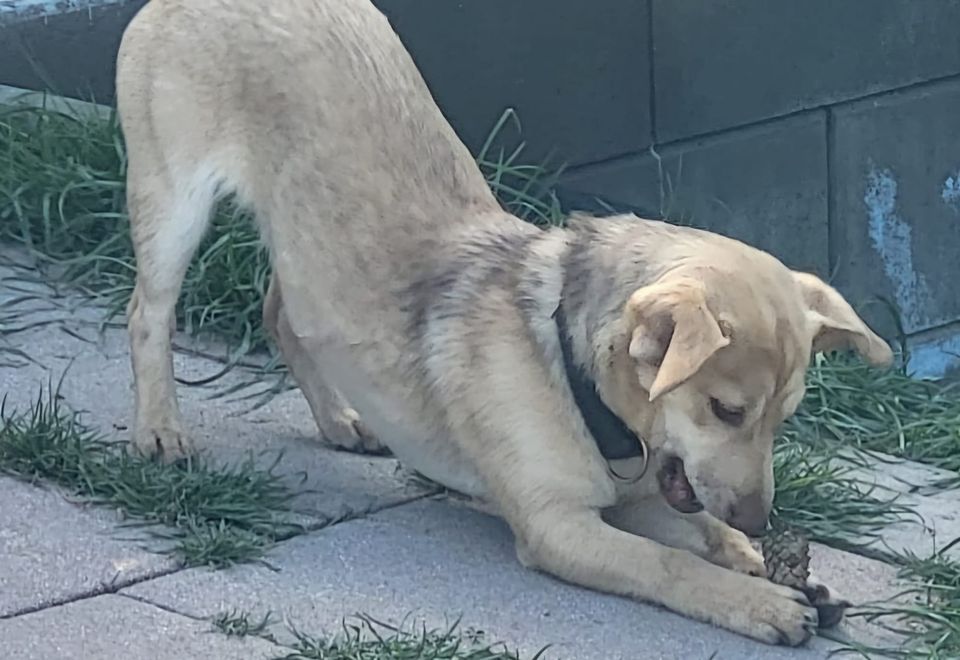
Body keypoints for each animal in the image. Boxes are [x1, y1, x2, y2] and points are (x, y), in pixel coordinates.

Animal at [114, 0, 892, 644]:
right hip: (173, 200)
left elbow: (701, 532)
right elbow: (669, 566)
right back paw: (160, 429)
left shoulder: (640, 499)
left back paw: (337, 419)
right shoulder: (561, 527)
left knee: (283, 312)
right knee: (147, 311)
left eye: (782, 420)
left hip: (302, 253)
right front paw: (756, 600)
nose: (761, 519)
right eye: (726, 410)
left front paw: (759, 562)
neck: (570, 370)